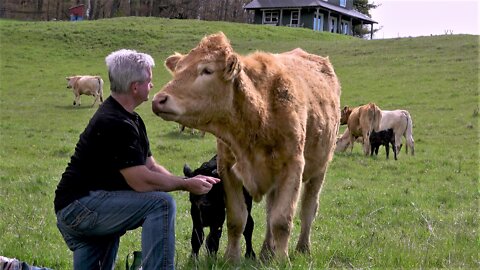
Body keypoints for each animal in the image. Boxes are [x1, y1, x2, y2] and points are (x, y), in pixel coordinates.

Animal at [152, 32, 340, 262]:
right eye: (178, 70)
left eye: (207, 70)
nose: (159, 99)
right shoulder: (228, 169)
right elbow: (237, 219)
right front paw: (231, 258)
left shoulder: (293, 167)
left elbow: (282, 220)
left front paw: (282, 259)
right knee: (269, 213)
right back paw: (266, 251)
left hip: (319, 171)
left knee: (308, 210)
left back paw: (302, 247)